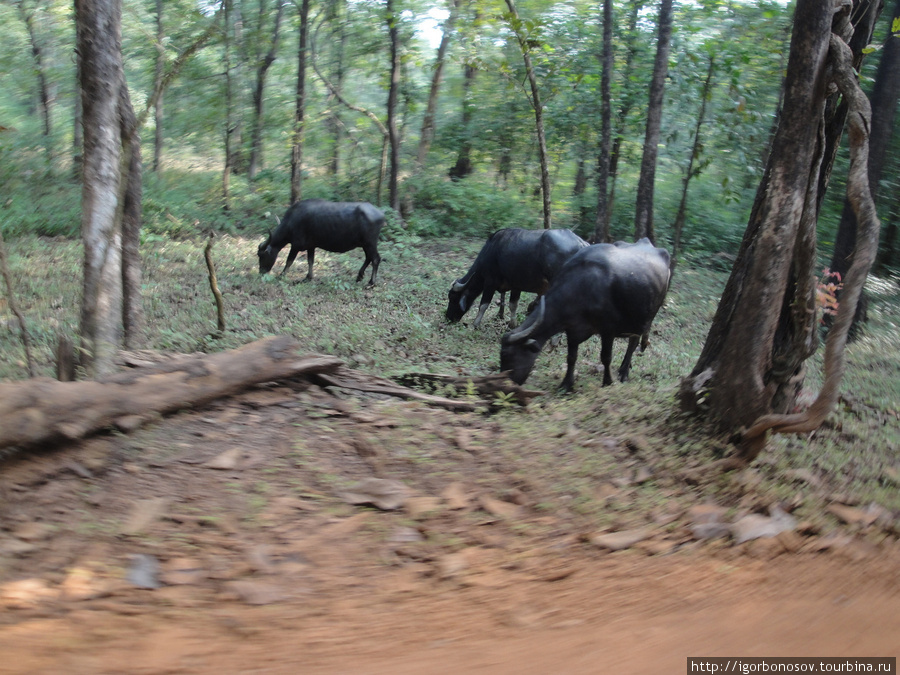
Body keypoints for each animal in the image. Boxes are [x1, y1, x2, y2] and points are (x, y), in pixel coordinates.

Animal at [444, 230, 588, 330]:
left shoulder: (490, 282)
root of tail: (581, 243)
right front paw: (511, 324)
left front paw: (475, 324)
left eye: (453, 298)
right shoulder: (515, 285)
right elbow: (512, 304)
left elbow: (484, 304)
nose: (448, 318)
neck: (491, 252)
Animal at [500, 240, 668, 394]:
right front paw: (566, 385)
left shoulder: (608, 330)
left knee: (633, 343)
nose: (505, 387)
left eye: (508, 355)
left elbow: (606, 357)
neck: (583, 288)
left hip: (646, 317)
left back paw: (624, 372)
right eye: (502, 354)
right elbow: (571, 357)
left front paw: (607, 381)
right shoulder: (573, 330)